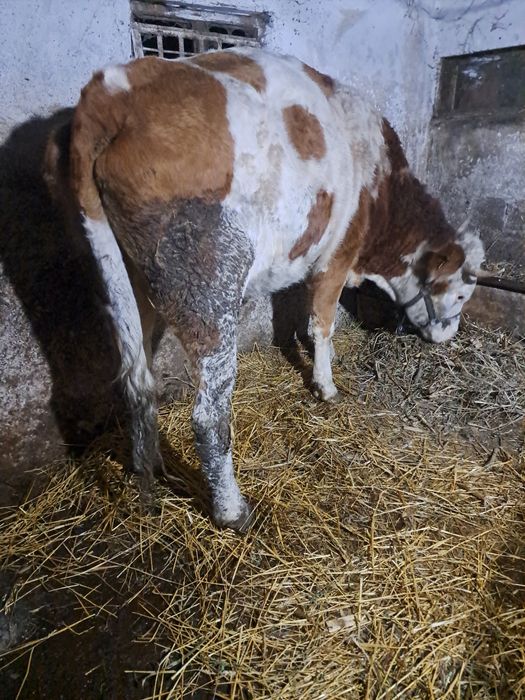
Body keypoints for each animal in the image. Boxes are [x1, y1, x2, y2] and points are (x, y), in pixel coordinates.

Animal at [59, 48, 483, 531]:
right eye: (462, 293)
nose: (449, 335)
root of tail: (113, 89)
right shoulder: (337, 255)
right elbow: (322, 325)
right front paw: (325, 386)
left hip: (128, 281)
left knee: (138, 382)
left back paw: (148, 467)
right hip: (212, 283)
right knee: (208, 413)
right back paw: (232, 511)